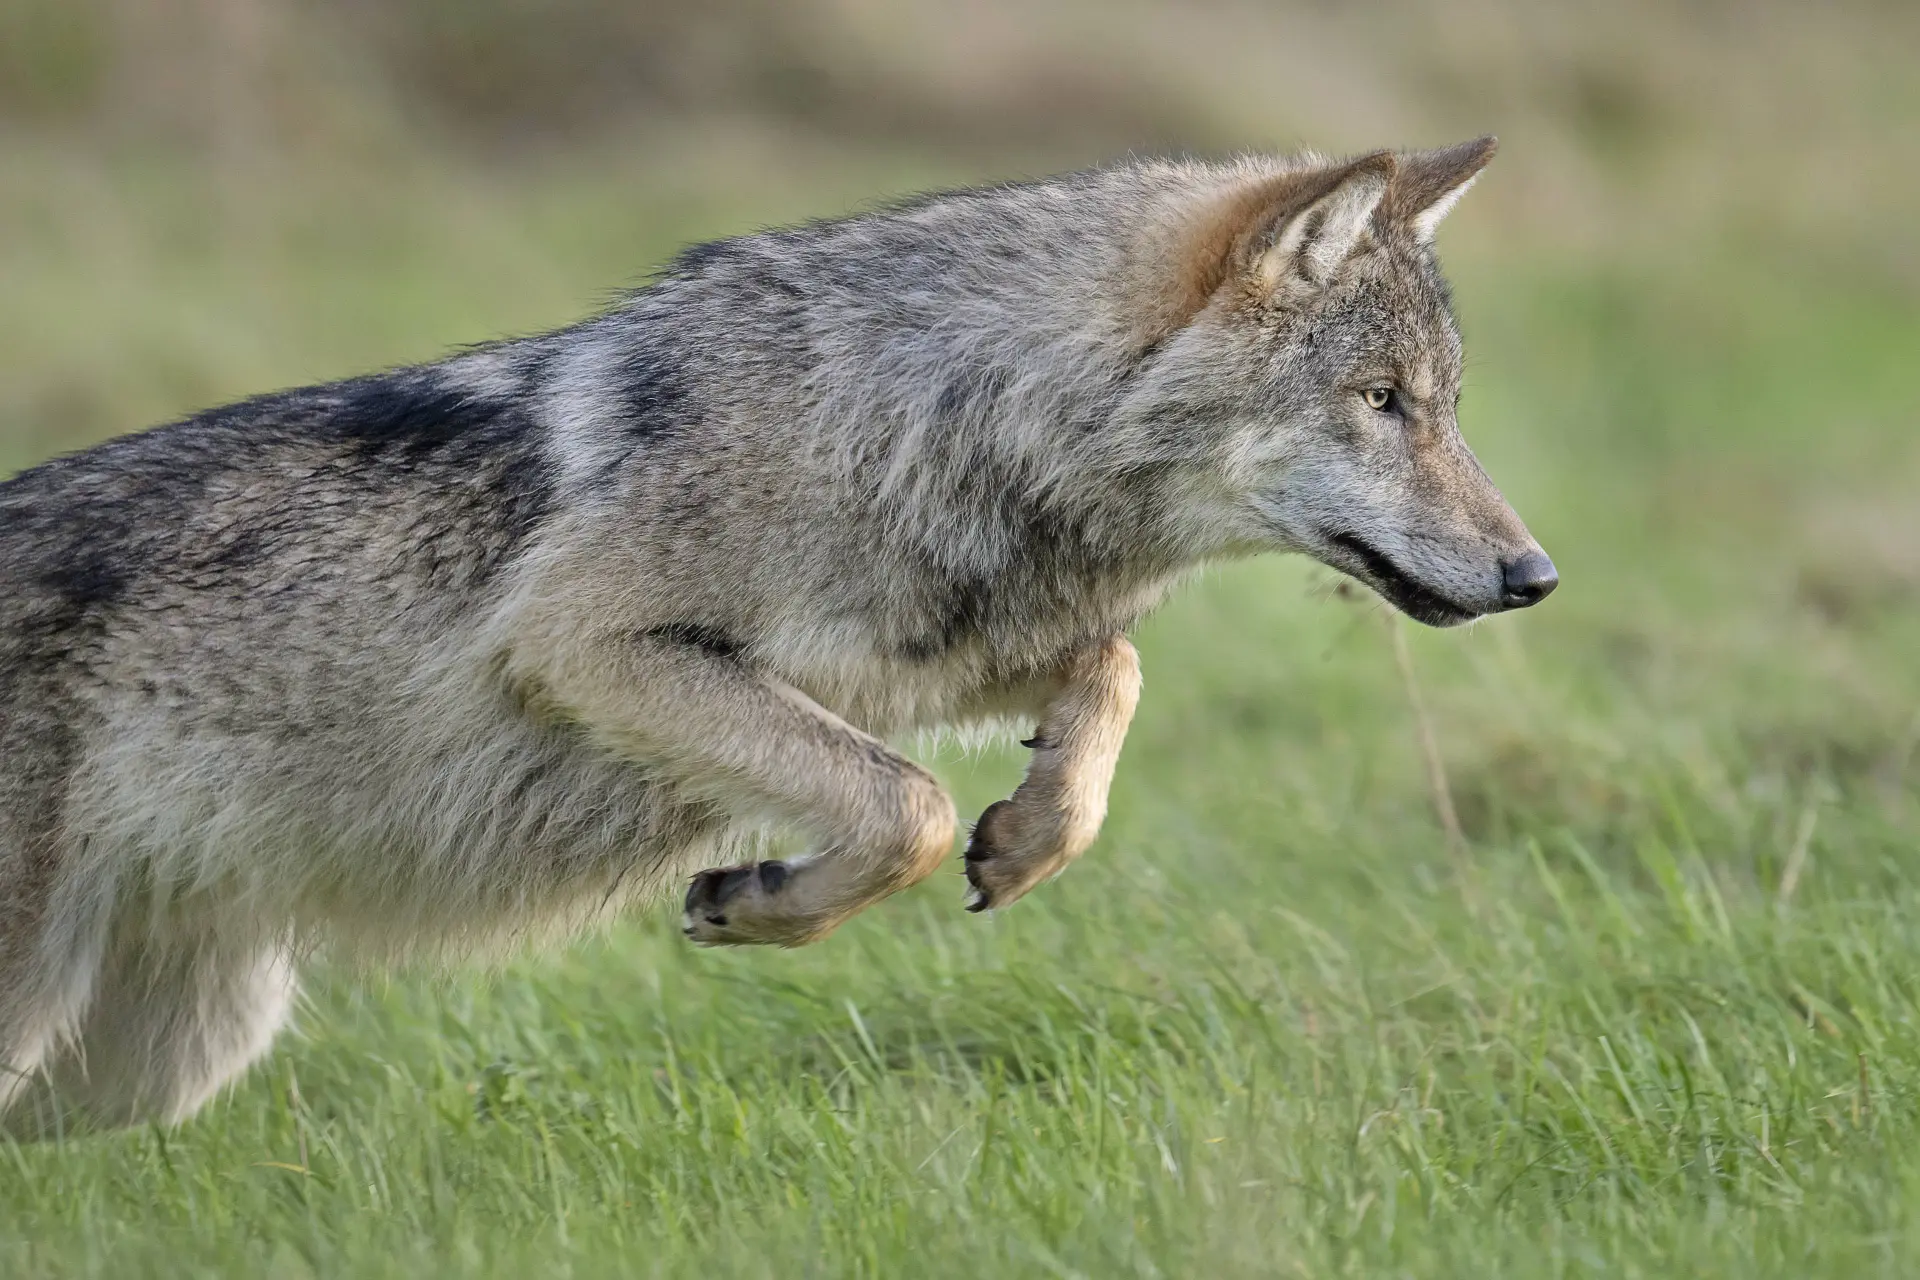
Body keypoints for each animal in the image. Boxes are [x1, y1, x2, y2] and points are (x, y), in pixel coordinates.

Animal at [0, 138, 1554, 1133]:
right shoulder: (593, 649)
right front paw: (760, 902)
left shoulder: (912, 658)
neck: (932, 409)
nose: (1536, 575)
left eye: (1444, 402)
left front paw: (1031, 833)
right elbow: (908, 808)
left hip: (162, 1059)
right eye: (1381, 401)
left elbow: (1105, 674)